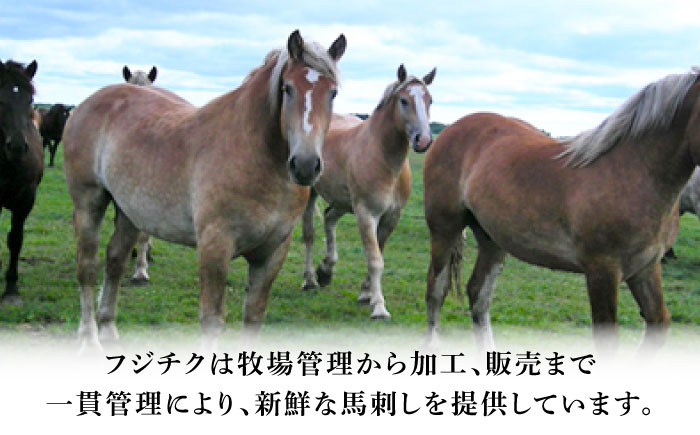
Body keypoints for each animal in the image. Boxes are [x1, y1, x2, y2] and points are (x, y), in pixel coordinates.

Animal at [63, 30, 346, 351]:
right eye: (287, 88)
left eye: (333, 93)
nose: (306, 165)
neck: (253, 155)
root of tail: (87, 104)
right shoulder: (214, 246)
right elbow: (212, 320)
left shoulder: (272, 252)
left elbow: (253, 315)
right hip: (89, 203)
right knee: (87, 267)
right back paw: (90, 338)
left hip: (129, 212)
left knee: (115, 261)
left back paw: (109, 330)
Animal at [301, 64, 436, 319]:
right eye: (404, 100)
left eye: (429, 100)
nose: (423, 140)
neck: (383, 157)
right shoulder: (366, 214)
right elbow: (375, 259)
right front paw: (379, 307)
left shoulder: (391, 218)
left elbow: (378, 252)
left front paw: (365, 294)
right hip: (311, 194)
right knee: (309, 235)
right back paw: (310, 280)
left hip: (342, 203)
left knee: (329, 219)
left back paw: (326, 270)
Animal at [423, 68, 700, 353]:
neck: (632, 171)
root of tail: (451, 130)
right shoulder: (602, 270)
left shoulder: (646, 267)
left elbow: (658, 323)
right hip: (444, 228)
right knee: (437, 288)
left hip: (492, 240)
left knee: (478, 293)